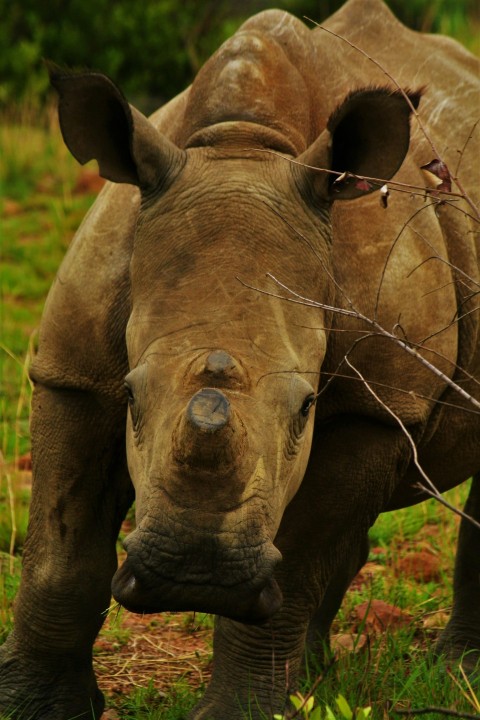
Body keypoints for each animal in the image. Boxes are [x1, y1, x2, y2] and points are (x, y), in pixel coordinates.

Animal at [0, 0, 480, 716]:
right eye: (132, 396)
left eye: (307, 407)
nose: (194, 577)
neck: (243, 146)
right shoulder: (74, 370)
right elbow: (60, 555)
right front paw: (31, 705)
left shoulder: (375, 404)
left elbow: (300, 561)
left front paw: (242, 710)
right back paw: (315, 679)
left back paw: (452, 676)